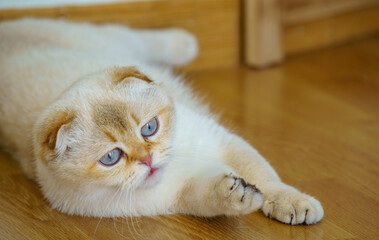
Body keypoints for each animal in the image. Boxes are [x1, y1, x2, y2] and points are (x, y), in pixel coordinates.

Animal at [0, 18, 324, 225]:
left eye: (149, 128)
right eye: (111, 157)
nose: (148, 160)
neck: (175, 166)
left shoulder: (223, 142)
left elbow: (267, 179)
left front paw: (293, 204)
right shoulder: (181, 194)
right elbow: (211, 196)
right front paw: (238, 195)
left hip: (111, 38)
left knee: (143, 37)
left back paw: (188, 42)